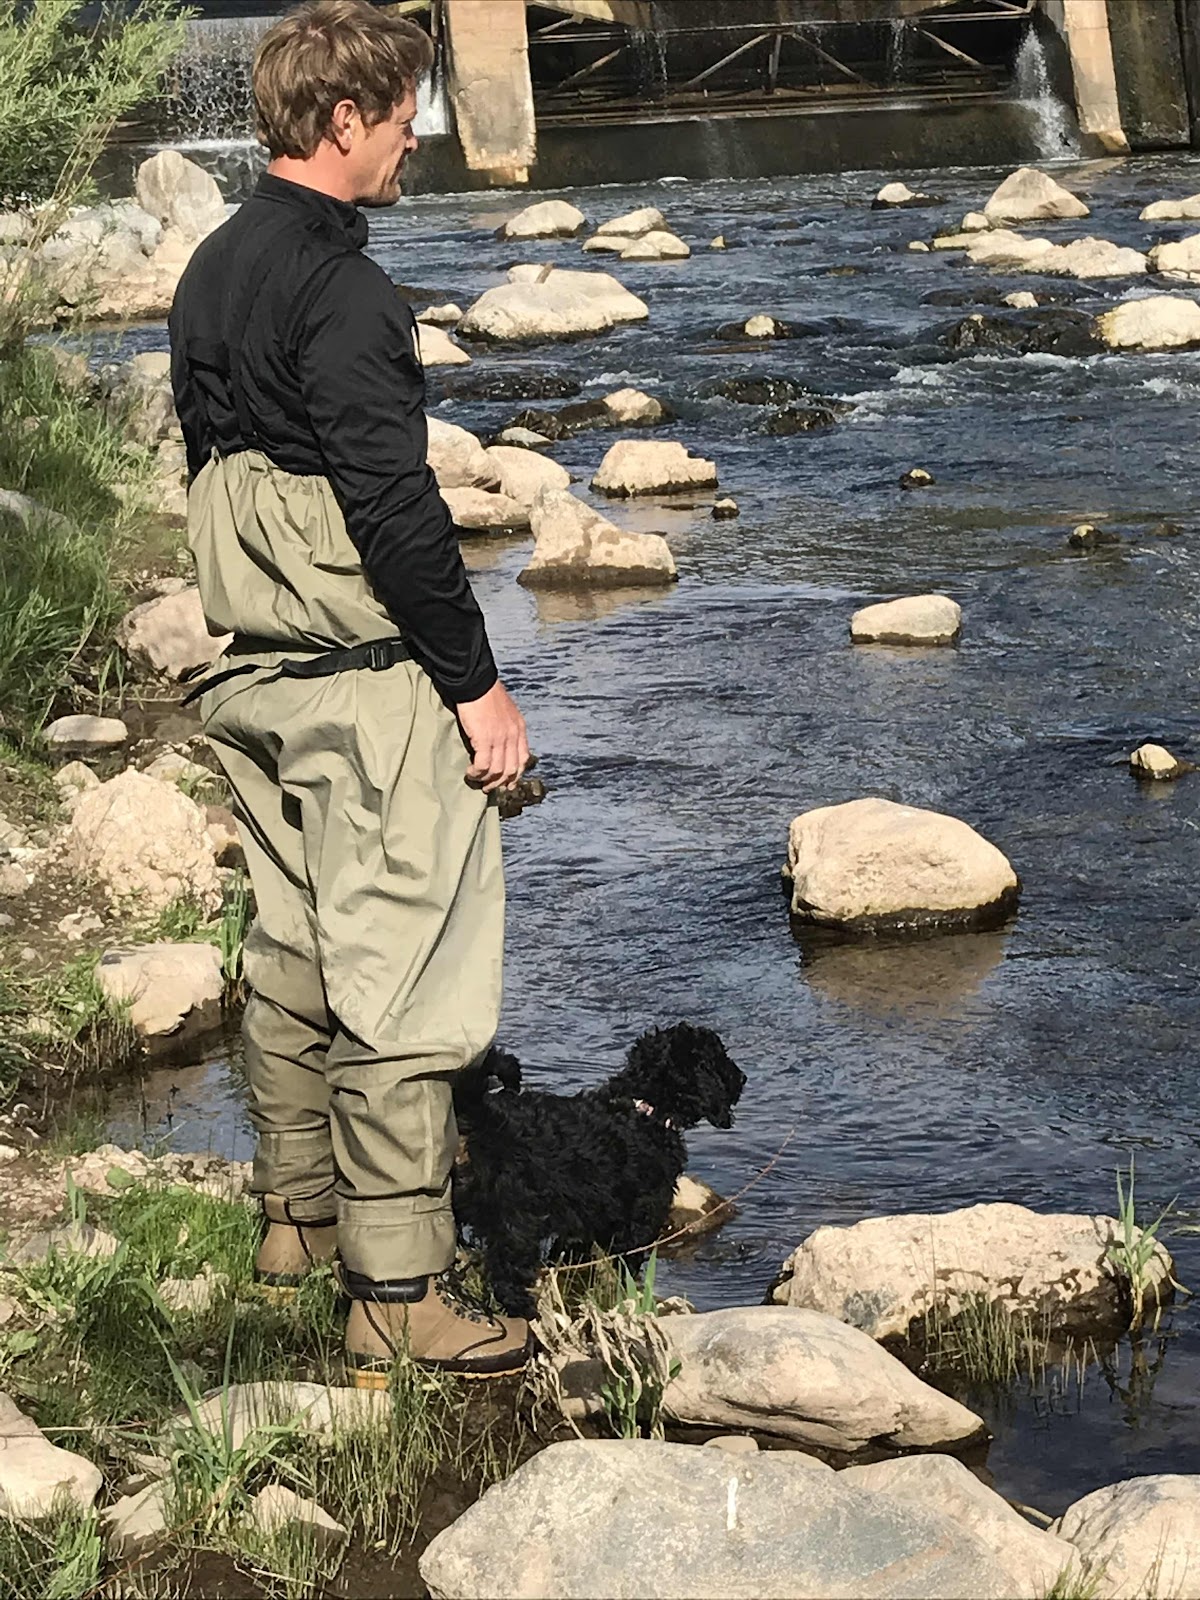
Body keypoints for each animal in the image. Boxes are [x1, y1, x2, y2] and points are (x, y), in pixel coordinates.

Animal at [450, 1022, 746, 1317]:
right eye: (718, 1060)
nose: (742, 1078)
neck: (644, 1111)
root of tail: (481, 1116)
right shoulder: (638, 1220)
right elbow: (626, 1264)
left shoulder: (585, 1224)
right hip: (517, 1217)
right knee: (505, 1273)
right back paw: (525, 1309)